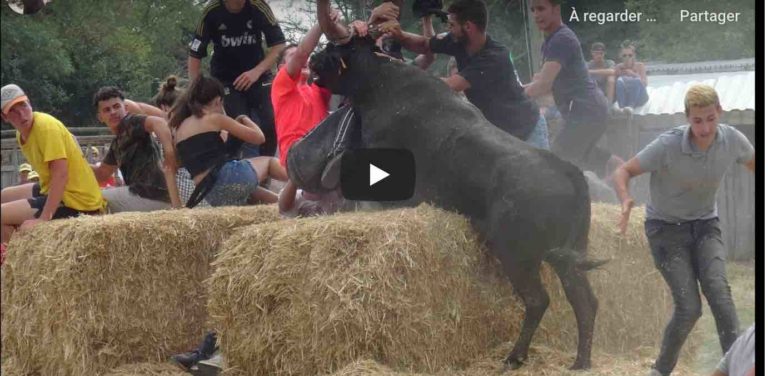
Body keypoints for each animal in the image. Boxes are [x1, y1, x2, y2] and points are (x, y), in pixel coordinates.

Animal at [288, 39, 608, 370]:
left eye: (332, 49)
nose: (310, 58)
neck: (380, 84)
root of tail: (567, 169)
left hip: (517, 254)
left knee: (538, 300)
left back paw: (515, 357)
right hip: (567, 258)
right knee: (585, 302)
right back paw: (580, 361)